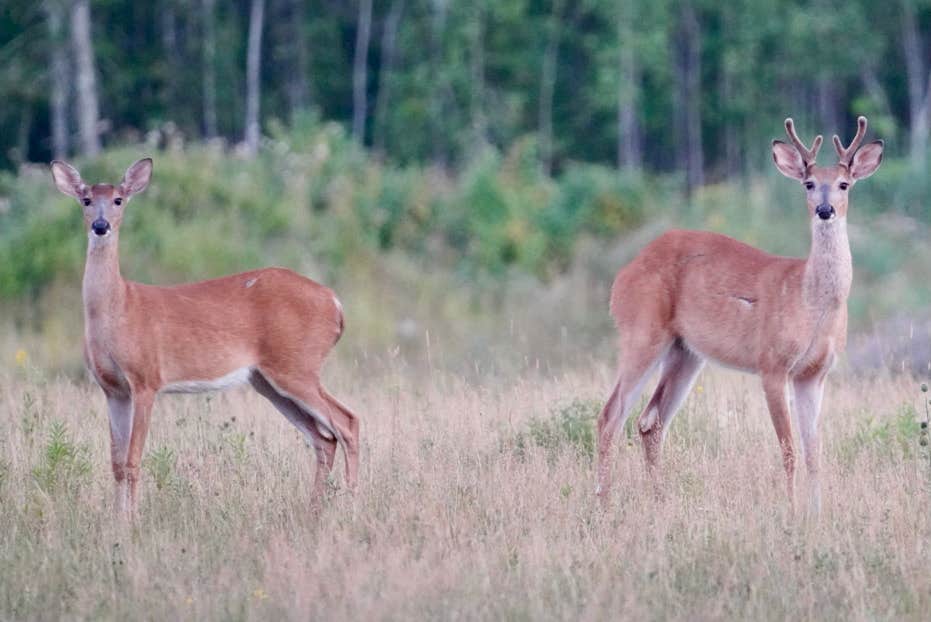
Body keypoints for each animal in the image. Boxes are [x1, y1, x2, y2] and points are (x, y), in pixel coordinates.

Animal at [52, 158, 360, 520]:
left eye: (118, 199)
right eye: (86, 199)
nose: (101, 226)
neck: (119, 308)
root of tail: (335, 303)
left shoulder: (146, 379)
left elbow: (133, 459)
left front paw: (133, 521)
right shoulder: (112, 388)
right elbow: (116, 462)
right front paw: (117, 521)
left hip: (297, 365)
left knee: (347, 422)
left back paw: (352, 506)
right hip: (268, 381)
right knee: (324, 438)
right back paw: (313, 510)